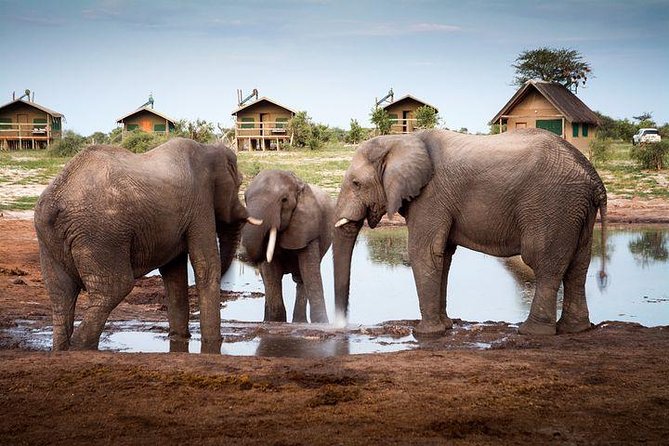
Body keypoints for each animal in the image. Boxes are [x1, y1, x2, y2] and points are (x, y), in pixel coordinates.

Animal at [34, 138, 260, 352]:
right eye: (239, 183)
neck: (209, 148)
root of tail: (55, 201)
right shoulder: (200, 203)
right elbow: (206, 265)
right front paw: (214, 343)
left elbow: (174, 274)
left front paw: (179, 338)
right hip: (98, 235)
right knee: (114, 289)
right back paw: (81, 348)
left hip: (49, 238)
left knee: (61, 294)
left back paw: (63, 348)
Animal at [241, 169, 334, 323]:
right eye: (245, 198)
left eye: (284, 200)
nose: (242, 256)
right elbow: (271, 273)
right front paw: (275, 322)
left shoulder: (308, 227)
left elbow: (309, 272)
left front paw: (321, 323)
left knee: (301, 278)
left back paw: (300, 322)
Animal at [333, 128, 607, 336]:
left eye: (356, 184)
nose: (342, 326)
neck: (401, 140)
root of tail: (594, 179)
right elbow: (443, 254)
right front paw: (445, 327)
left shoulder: (431, 196)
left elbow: (424, 252)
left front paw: (425, 333)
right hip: (576, 210)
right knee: (578, 265)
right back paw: (576, 329)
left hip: (552, 205)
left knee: (544, 262)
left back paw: (532, 331)